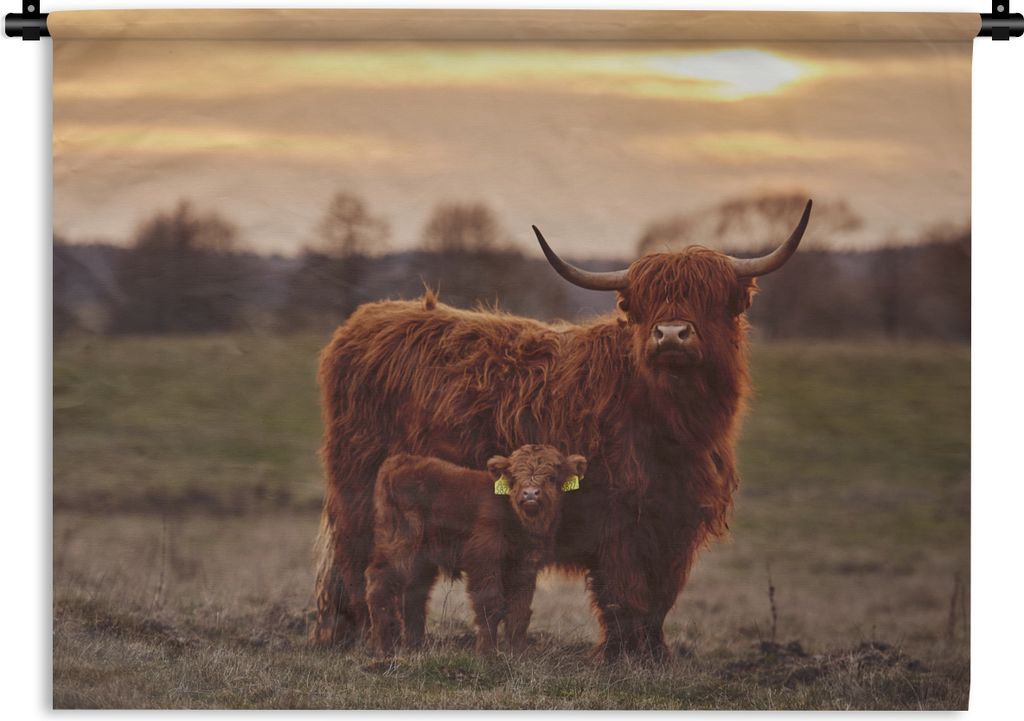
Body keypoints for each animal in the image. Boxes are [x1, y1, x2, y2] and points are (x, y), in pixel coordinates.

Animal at [365, 446, 587, 656]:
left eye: (552, 477)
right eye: (514, 477)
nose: (530, 493)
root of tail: (399, 461)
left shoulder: (525, 566)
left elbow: (519, 611)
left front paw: (518, 654)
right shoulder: (484, 560)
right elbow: (490, 606)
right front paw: (486, 654)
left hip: (421, 560)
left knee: (414, 595)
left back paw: (415, 647)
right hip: (399, 546)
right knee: (380, 583)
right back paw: (382, 650)